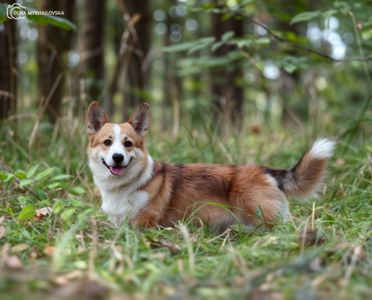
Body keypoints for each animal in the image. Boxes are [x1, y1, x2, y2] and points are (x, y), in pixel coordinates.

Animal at [85, 101, 336, 230]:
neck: (124, 186)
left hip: (262, 215)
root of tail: (264, 170)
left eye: (128, 144)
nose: (118, 157)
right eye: (107, 142)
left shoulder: (146, 222)